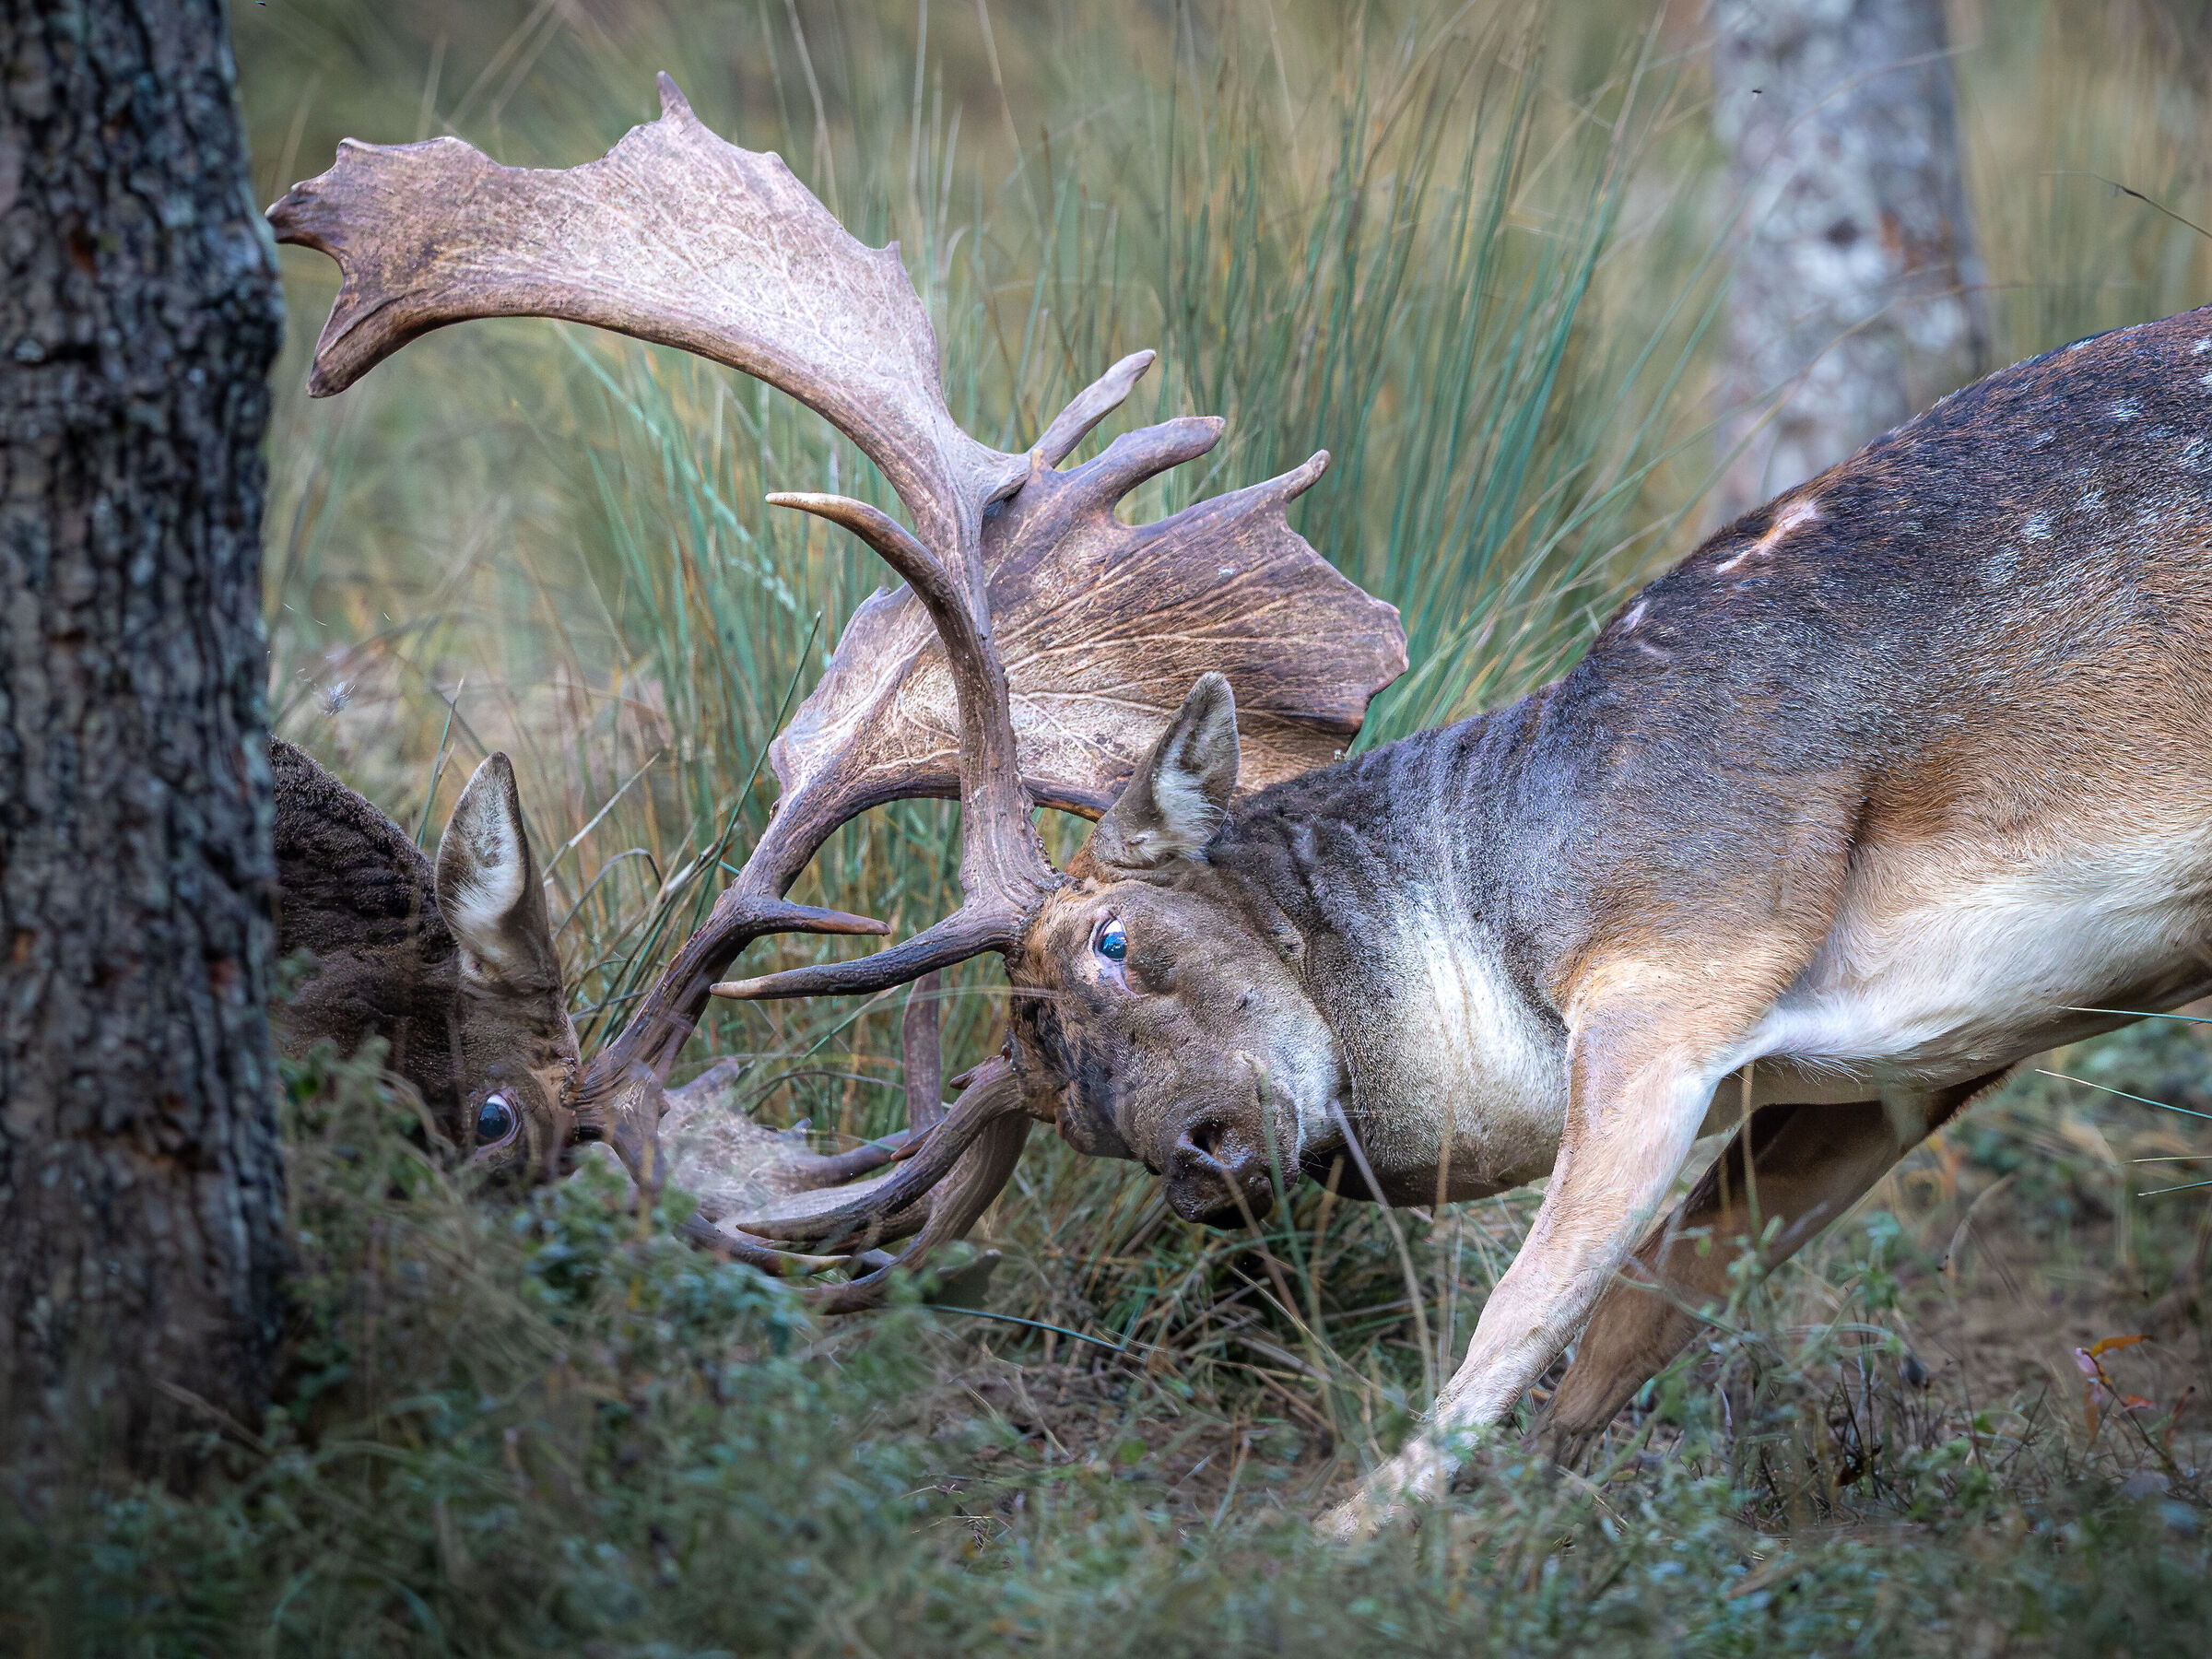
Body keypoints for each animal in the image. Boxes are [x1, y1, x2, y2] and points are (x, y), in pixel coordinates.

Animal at [268, 77, 2212, 1535]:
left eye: (1116, 943)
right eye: (1057, 1101)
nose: (1206, 1156)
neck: (1516, 883)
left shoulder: (1682, 964)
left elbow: (1519, 1319)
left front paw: (1353, 1539)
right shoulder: (1893, 1072)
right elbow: (1621, 1347)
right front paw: (1526, 1535)